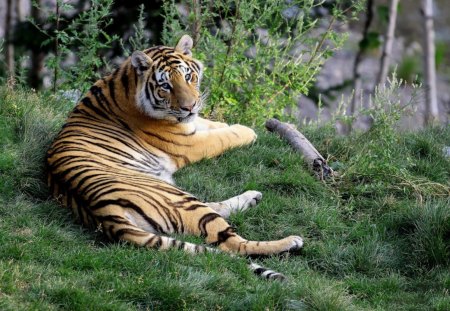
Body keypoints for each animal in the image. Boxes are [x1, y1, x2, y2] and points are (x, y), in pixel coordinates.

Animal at [47, 35, 304, 282]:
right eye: (165, 86)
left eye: (188, 77)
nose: (189, 106)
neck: (126, 82)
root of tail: (103, 214)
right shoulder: (189, 143)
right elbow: (222, 137)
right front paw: (247, 131)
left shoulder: (191, 125)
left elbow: (212, 124)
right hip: (179, 198)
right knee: (233, 244)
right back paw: (291, 241)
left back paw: (253, 197)